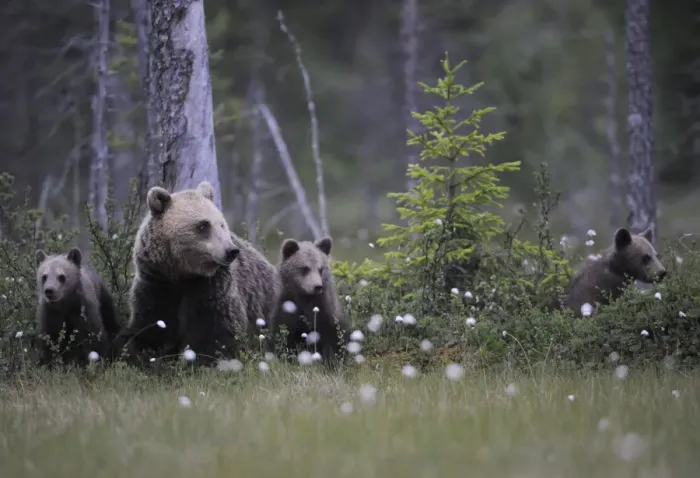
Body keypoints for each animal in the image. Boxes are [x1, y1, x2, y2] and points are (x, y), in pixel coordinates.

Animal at [114, 180, 262, 366]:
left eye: (222, 224)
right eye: (203, 225)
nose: (231, 251)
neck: (182, 275)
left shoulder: (212, 289)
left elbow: (217, 331)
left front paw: (199, 358)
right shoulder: (156, 284)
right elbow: (150, 326)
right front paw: (138, 353)